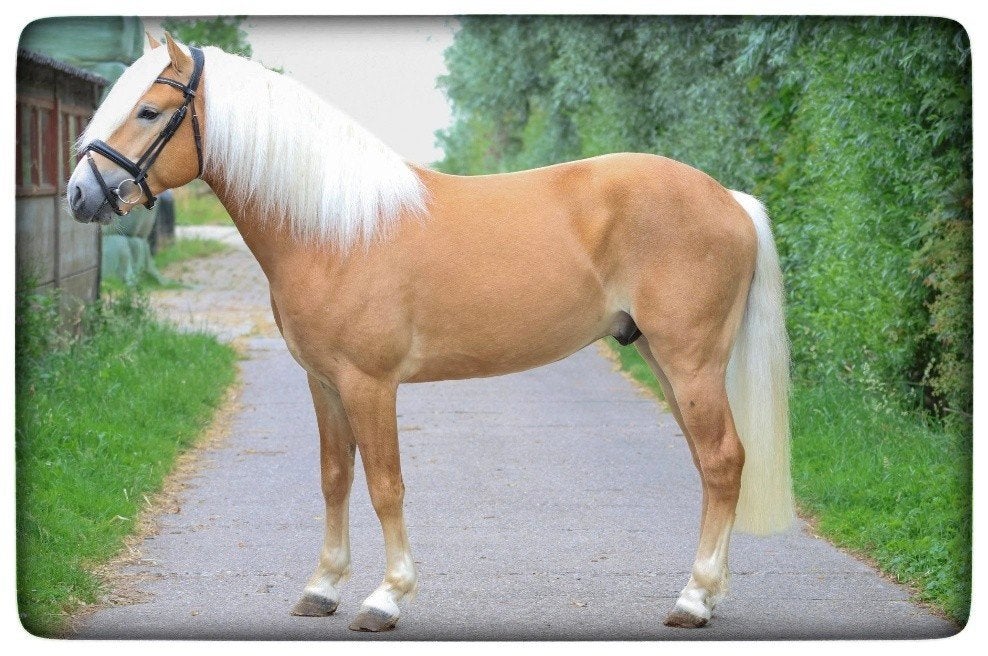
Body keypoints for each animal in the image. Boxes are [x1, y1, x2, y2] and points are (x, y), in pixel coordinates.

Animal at [68, 33, 794, 632]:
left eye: (149, 112)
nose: (80, 195)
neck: (334, 229)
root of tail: (730, 199)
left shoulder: (369, 384)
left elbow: (385, 484)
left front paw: (386, 598)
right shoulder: (323, 381)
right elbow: (335, 477)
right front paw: (323, 588)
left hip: (689, 360)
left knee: (722, 460)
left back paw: (694, 599)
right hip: (665, 360)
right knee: (710, 464)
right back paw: (709, 594)